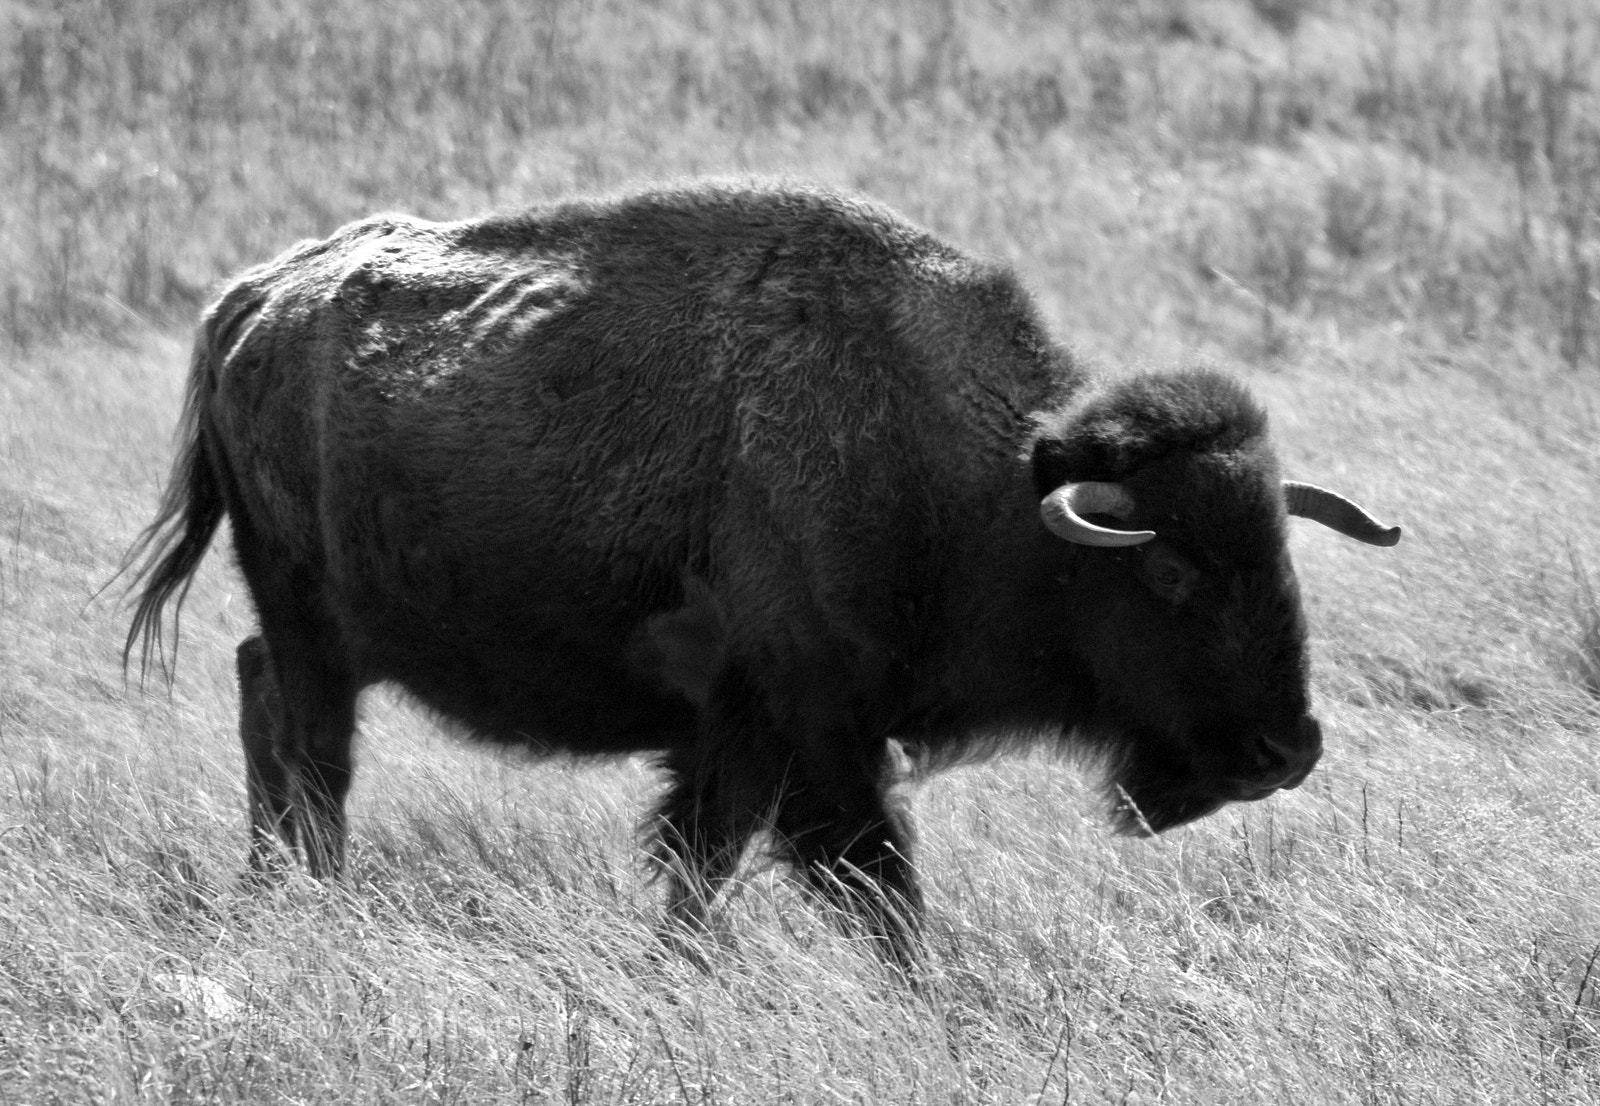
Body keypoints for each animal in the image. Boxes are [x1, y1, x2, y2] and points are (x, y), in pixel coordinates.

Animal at [124, 181, 1399, 960]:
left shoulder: (739, 735)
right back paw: (308, 886)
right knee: (310, 748)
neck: (971, 473)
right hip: (312, 619)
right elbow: (870, 881)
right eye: (1170, 570)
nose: (1286, 749)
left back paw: (276, 885)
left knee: (266, 704)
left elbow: (706, 860)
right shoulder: (808, 728)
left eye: (1276, 554)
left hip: (315, 626)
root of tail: (247, 301)